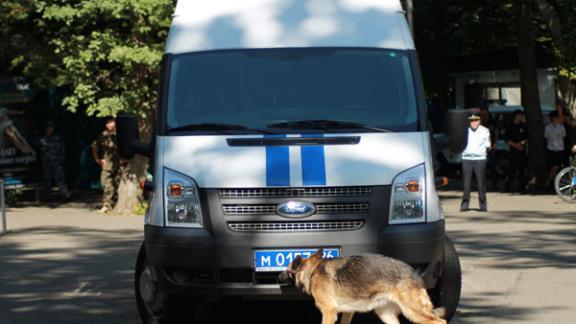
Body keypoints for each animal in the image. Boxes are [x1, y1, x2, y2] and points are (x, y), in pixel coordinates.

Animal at [280, 249, 446, 322]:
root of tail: (415, 274)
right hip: (387, 315)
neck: (313, 271)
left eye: (286, 270)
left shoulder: (329, 312)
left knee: (440, 321)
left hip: (413, 312)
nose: (278, 276)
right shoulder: (347, 313)